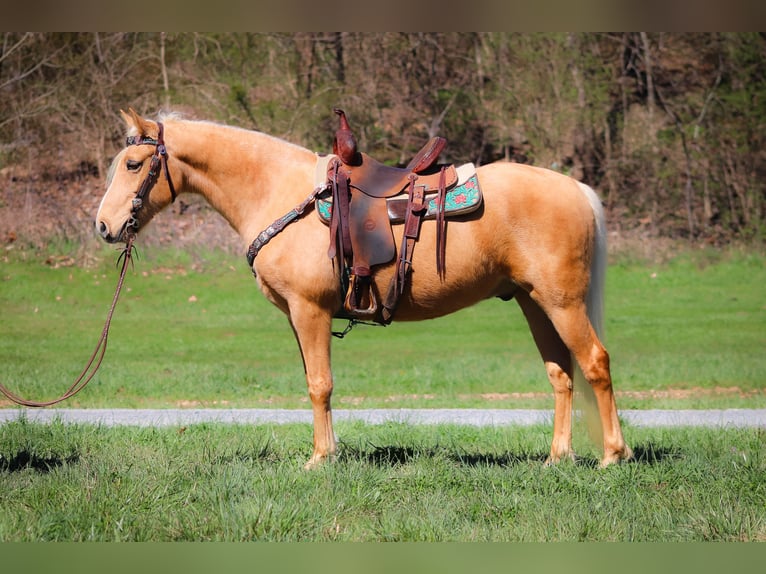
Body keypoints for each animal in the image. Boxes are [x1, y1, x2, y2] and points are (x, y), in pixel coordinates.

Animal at [97, 110, 636, 470]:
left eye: (133, 165)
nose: (103, 226)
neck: (280, 191)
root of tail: (576, 188)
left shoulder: (310, 310)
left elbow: (320, 384)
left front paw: (320, 460)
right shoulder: (298, 317)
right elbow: (314, 383)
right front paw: (329, 452)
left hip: (562, 303)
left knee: (595, 362)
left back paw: (613, 455)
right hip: (534, 303)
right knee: (561, 374)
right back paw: (557, 458)